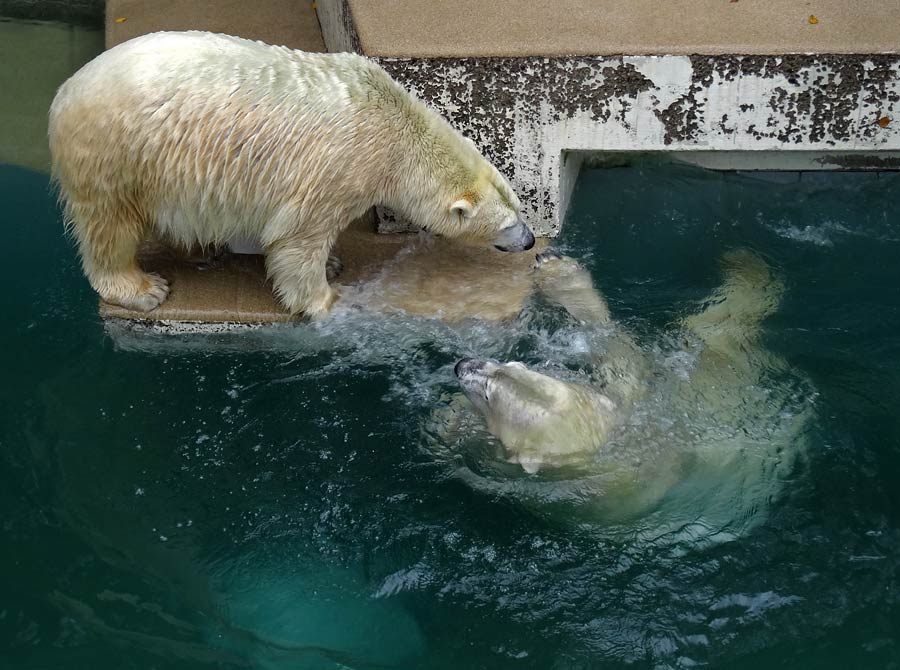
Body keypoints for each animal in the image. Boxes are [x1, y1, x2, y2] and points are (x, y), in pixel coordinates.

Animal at [49, 32, 532, 322]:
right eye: (507, 224)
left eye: (520, 207)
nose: (528, 241)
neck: (394, 129)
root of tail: (65, 92)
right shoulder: (339, 167)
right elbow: (299, 239)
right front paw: (329, 300)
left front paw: (334, 264)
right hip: (117, 155)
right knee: (111, 226)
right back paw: (143, 287)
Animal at [428, 251, 816, 540]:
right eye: (511, 364)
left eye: (491, 396)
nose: (463, 365)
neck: (623, 441)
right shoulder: (631, 395)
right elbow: (612, 348)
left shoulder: (587, 499)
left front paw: (451, 421)